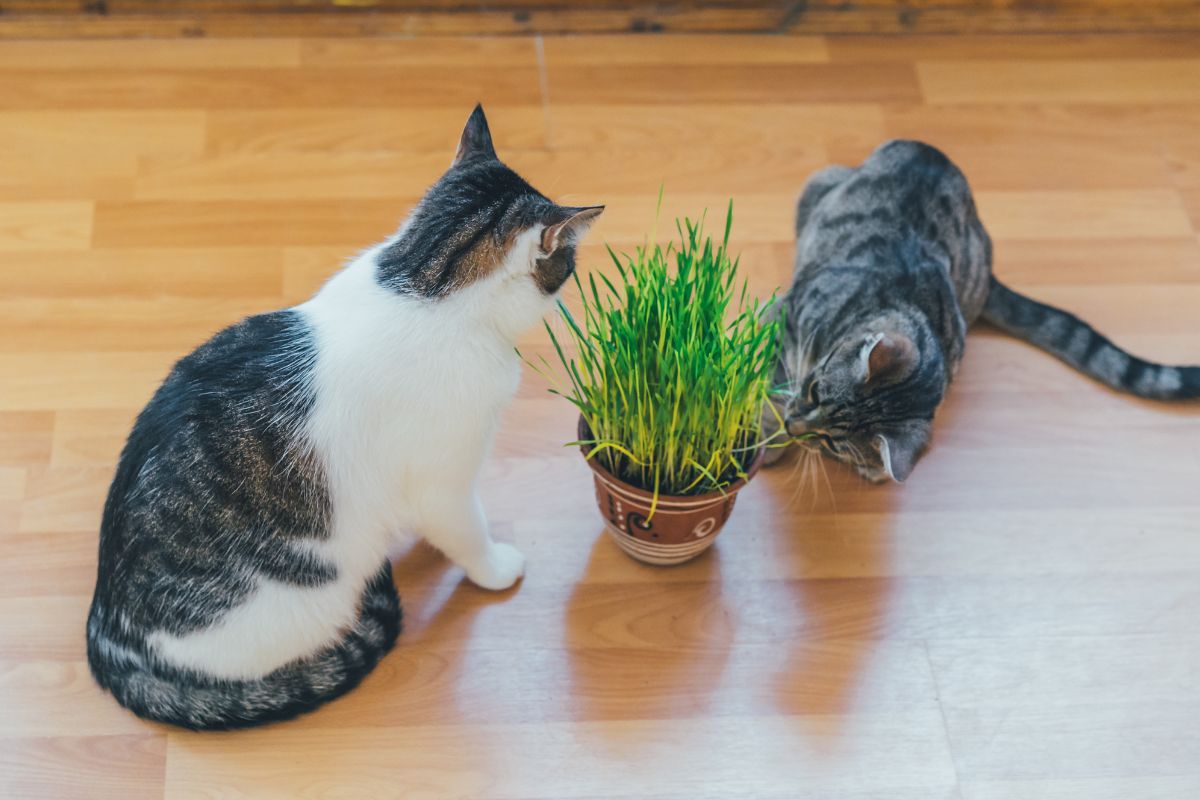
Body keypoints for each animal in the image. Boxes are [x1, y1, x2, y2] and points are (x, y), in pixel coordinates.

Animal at [87, 103, 604, 729]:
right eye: (568, 262)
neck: (425, 282)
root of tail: (109, 629)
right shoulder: (445, 481)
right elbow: (467, 530)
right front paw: (495, 568)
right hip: (308, 597)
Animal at [768, 139, 1200, 482]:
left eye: (829, 443)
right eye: (815, 390)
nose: (793, 425)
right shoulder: (784, 312)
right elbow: (772, 376)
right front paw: (769, 434)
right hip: (819, 183)